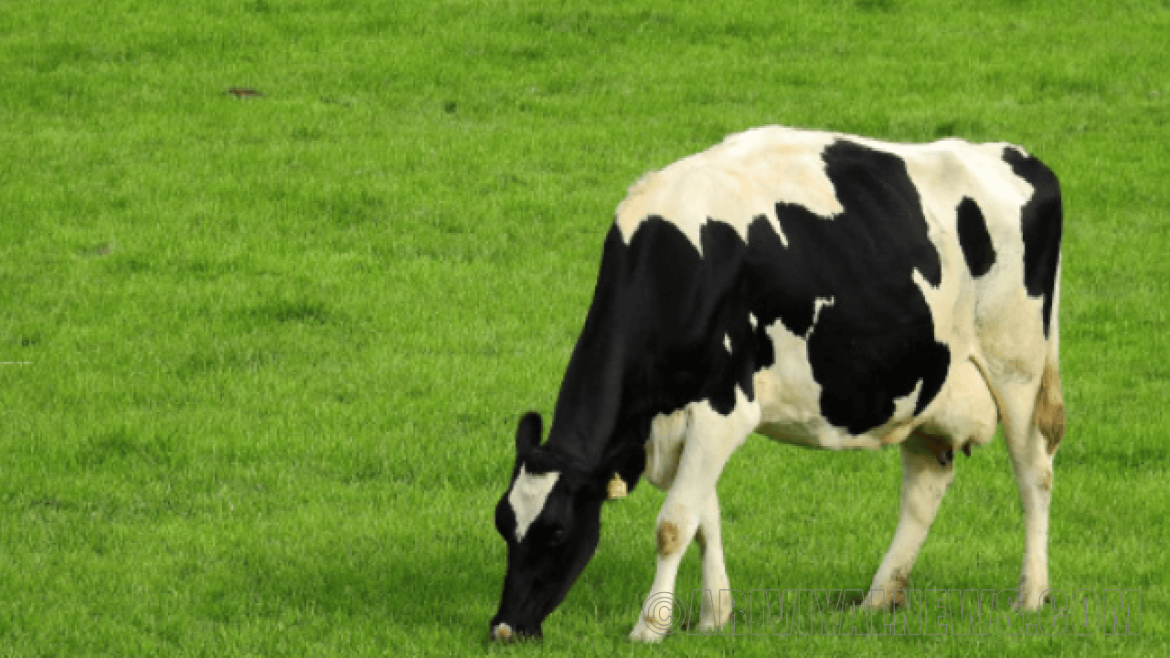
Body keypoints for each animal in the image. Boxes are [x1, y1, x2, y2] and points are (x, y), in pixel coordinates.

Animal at [489, 126, 1065, 642]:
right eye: (502, 522)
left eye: (557, 531)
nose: (504, 628)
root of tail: (1018, 156)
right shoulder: (689, 419)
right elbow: (705, 518)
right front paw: (714, 617)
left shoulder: (724, 407)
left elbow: (675, 523)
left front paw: (649, 628)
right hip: (928, 386)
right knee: (924, 488)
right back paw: (877, 600)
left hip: (1017, 367)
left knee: (1033, 473)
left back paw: (1031, 595)